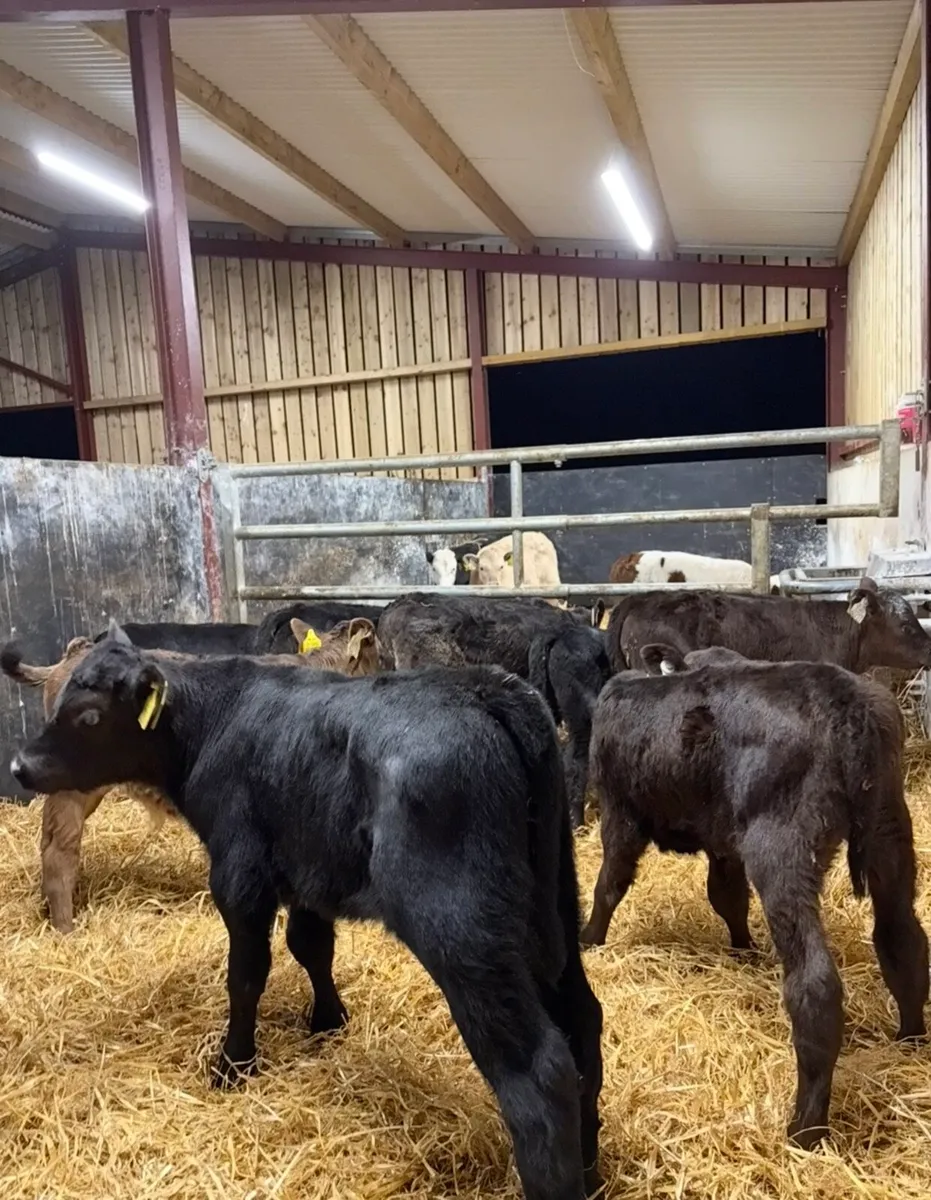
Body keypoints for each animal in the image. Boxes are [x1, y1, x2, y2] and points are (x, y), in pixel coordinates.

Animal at [580, 642, 929, 1150]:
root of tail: (848, 703)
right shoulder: (724, 842)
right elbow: (726, 897)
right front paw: (743, 951)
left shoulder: (621, 813)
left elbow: (609, 883)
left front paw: (589, 937)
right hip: (890, 833)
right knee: (903, 941)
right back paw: (910, 1040)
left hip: (781, 847)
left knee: (815, 983)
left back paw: (805, 1128)